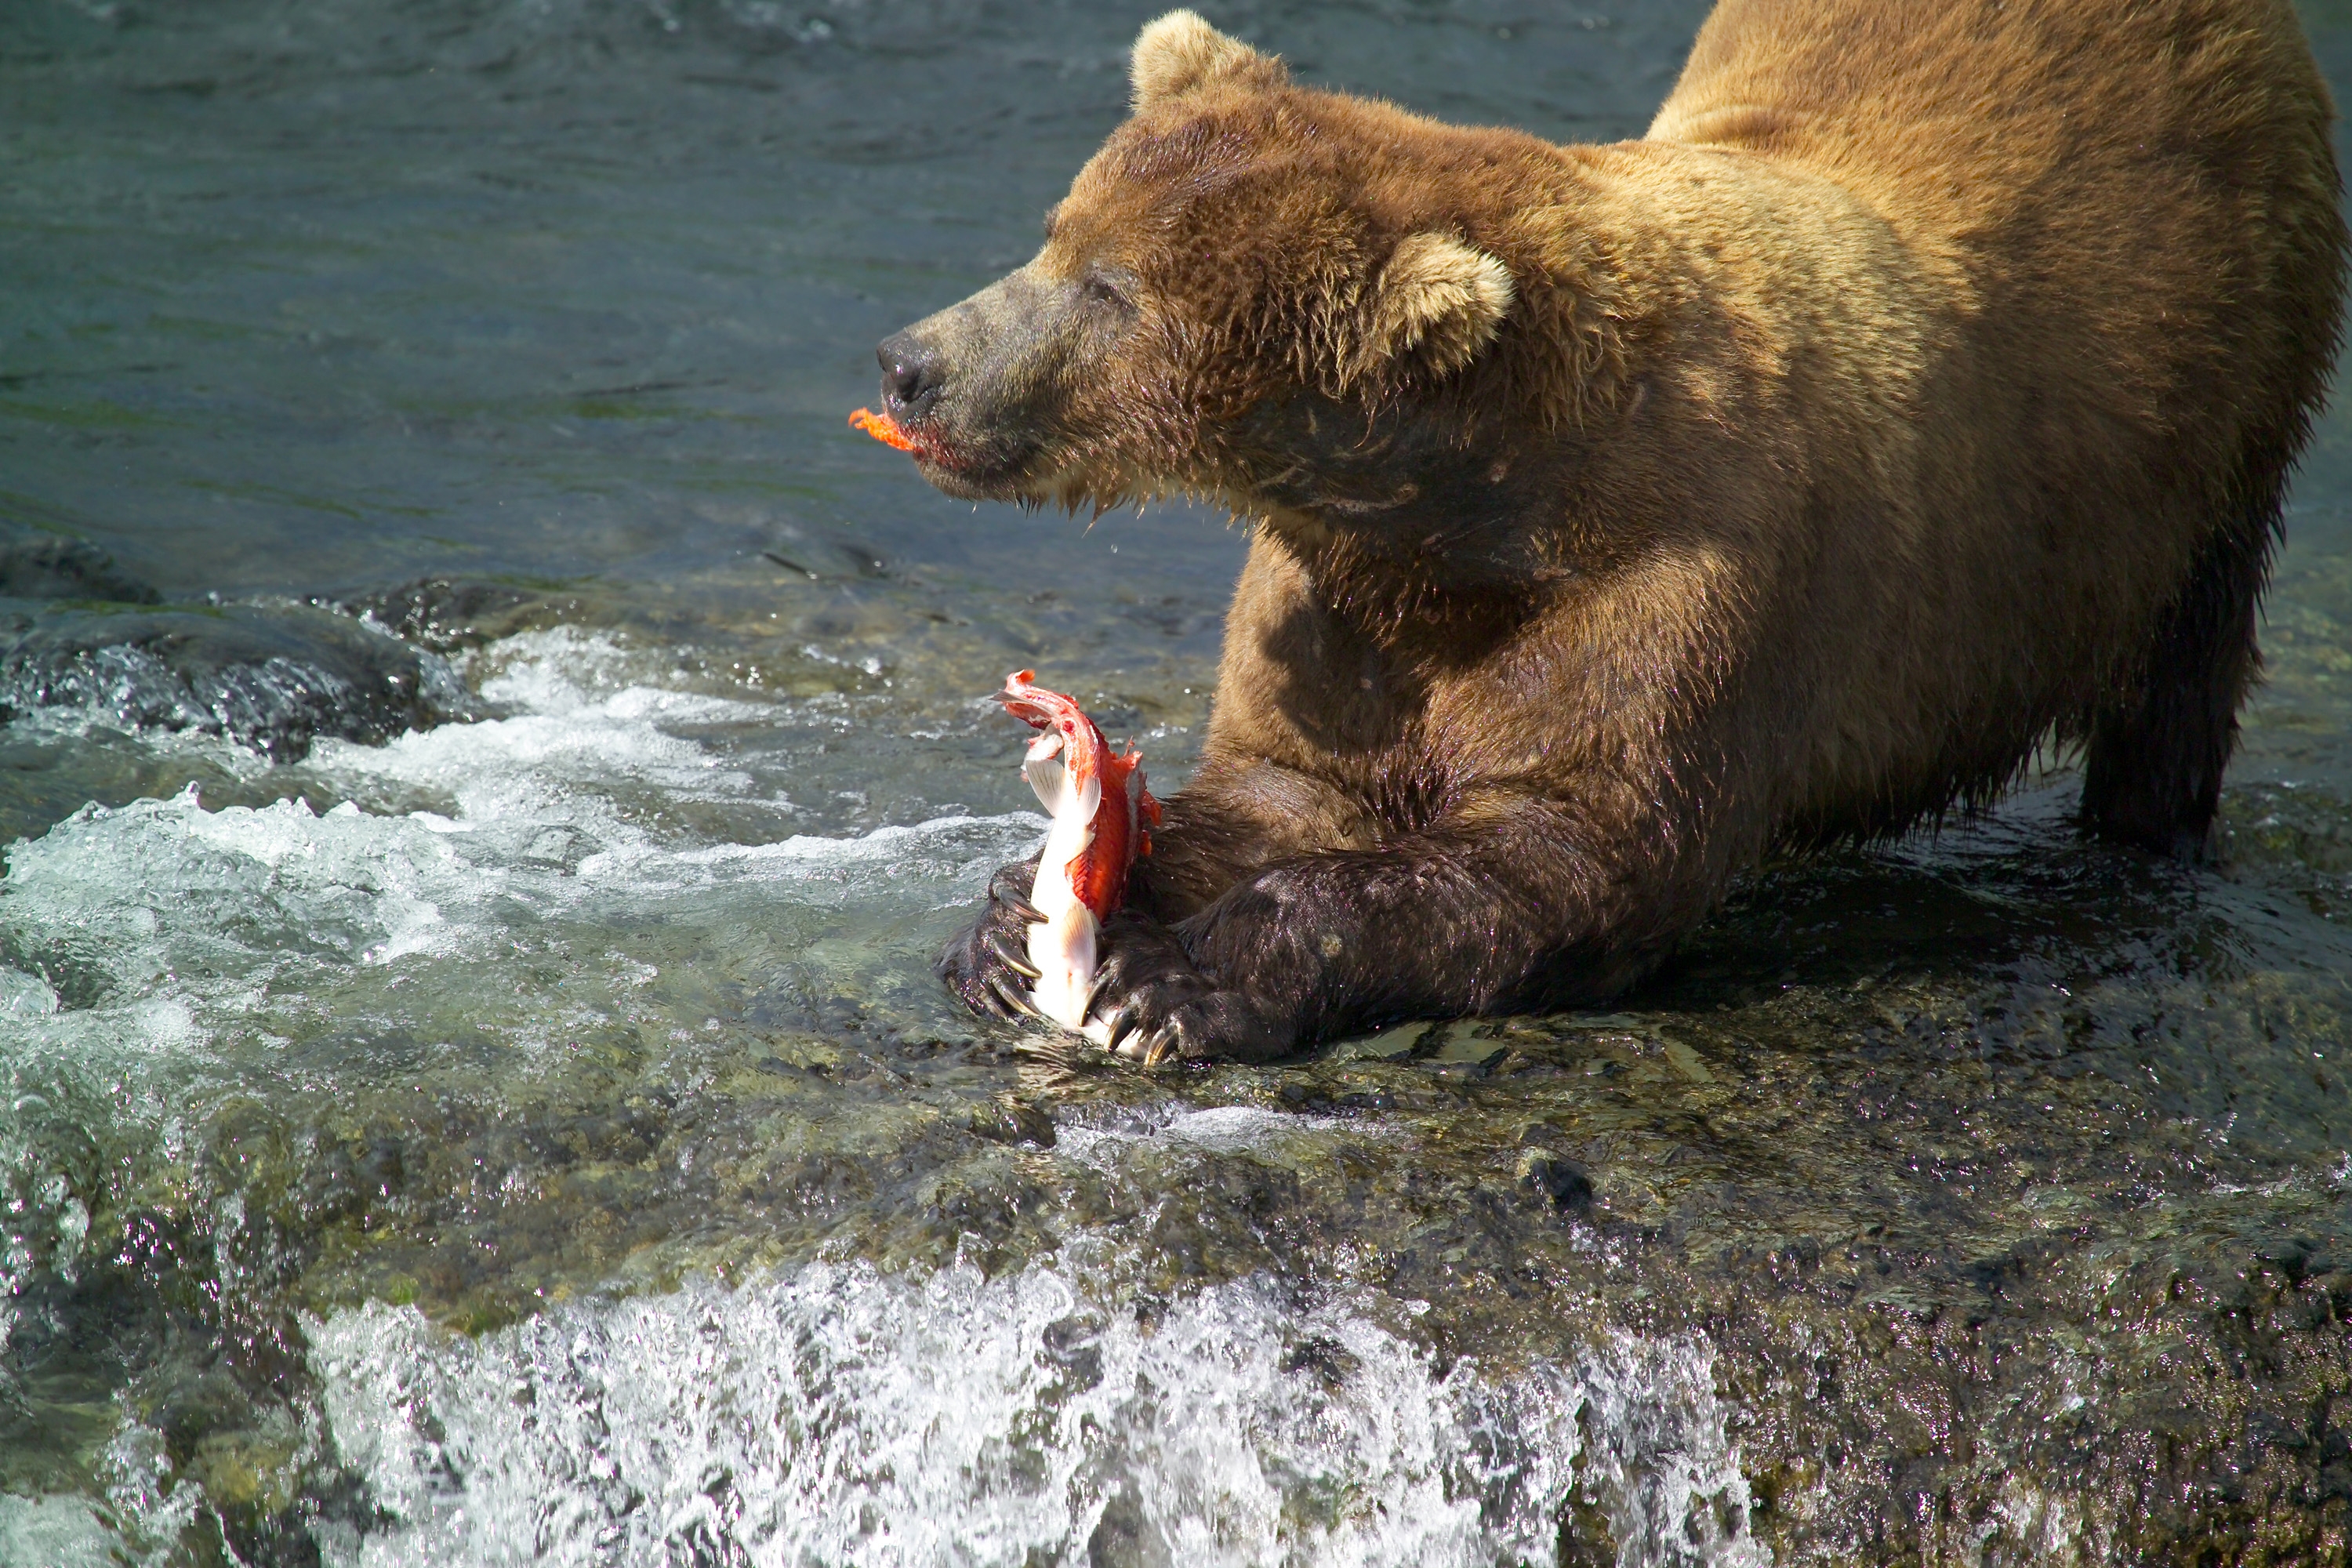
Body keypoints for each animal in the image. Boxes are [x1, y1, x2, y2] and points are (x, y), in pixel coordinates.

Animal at [880, 0, 2333, 1062]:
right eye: (1058, 232)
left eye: (1114, 292)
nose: (912, 366)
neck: (1474, 512)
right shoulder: (1341, 600)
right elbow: (1285, 785)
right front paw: (1014, 919)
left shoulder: (1671, 579)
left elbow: (1572, 846)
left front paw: (1169, 981)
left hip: (2215, 406)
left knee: (2183, 666)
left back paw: (2142, 843)